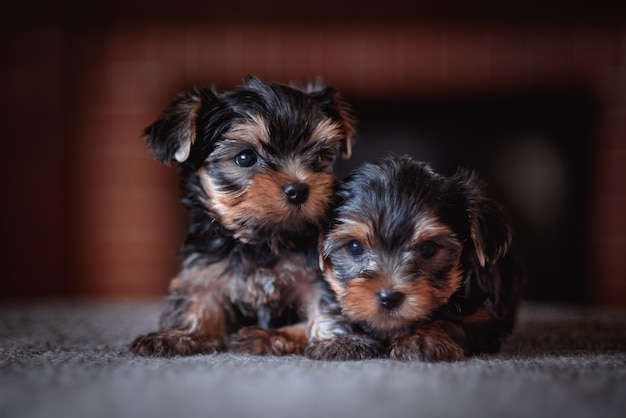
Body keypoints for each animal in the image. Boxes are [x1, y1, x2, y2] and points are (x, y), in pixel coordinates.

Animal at [129, 75, 354, 356]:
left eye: (321, 156)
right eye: (245, 157)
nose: (299, 189)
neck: (258, 241)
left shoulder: (313, 270)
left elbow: (324, 298)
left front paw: (335, 339)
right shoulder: (205, 266)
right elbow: (197, 299)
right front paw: (180, 335)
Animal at [304, 155, 524, 360]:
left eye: (427, 249)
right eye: (355, 247)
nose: (389, 297)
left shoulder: (486, 320)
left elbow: (454, 322)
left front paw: (422, 339)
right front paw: (340, 340)